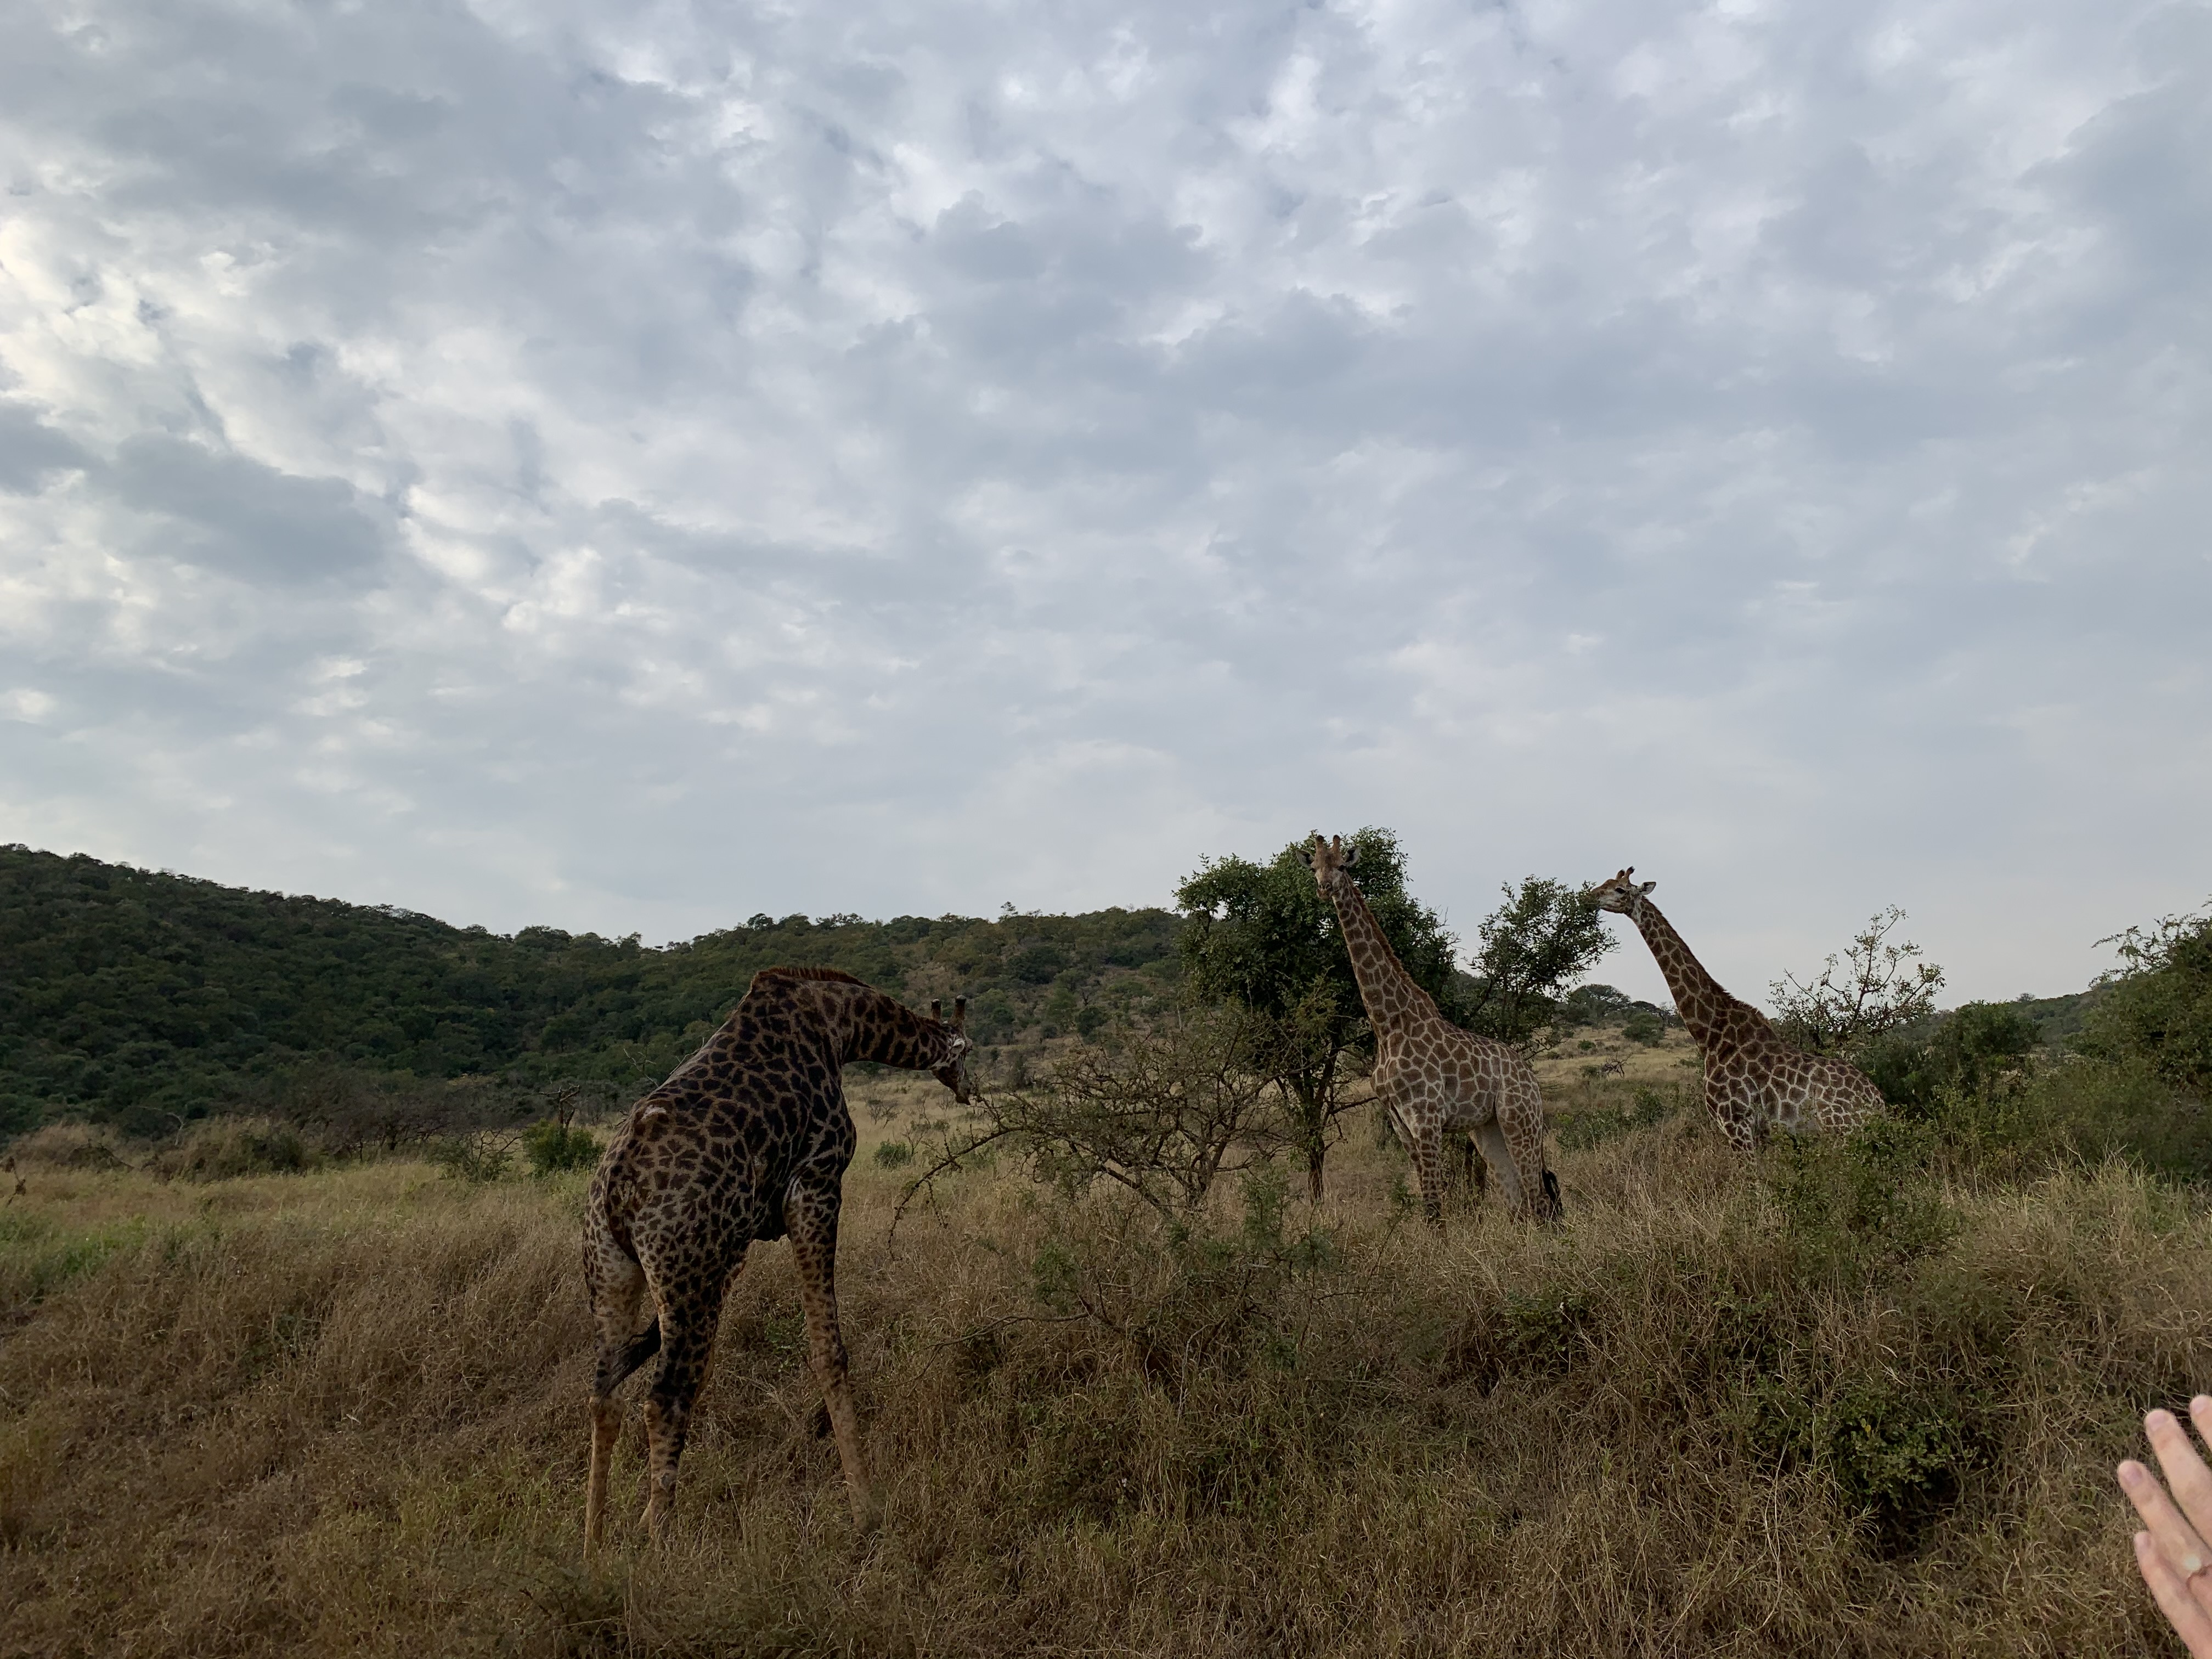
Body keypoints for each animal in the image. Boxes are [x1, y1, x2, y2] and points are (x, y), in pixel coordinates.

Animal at [581, 966, 972, 1553]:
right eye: (967, 1050)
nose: (971, 1089)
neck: (841, 1025)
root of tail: (617, 1190)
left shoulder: (738, 1247)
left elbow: (707, 1369)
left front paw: (643, 1517)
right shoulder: (816, 1186)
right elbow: (828, 1351)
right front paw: (867, 1514)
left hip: (612, 1270)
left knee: (607, 1393)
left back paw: (594, 1548)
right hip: (684, 1268)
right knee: (664, 1398)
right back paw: (661, 1551)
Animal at [1304, 834, 1562, 1225]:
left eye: (1343, 866)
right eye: (1315, 867)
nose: (1324, 888)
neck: (1387, 1025)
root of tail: (1531, 1077)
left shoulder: (1426, 1117)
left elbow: (1433, 1206)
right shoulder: (1400, 1123)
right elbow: (1428, 1204)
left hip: (1521, 1119)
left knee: (1541, 1199)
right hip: (1487, 1130)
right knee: (1519, 1201)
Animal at [1585, 869, 1884, 1150]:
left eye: (1620, 889)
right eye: (1606, 882)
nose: (1589, 896)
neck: (1709, 1034)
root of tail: (1877, 1102)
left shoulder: (1735, 1122)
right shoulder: (1758, 1133)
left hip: (1843, 1134)